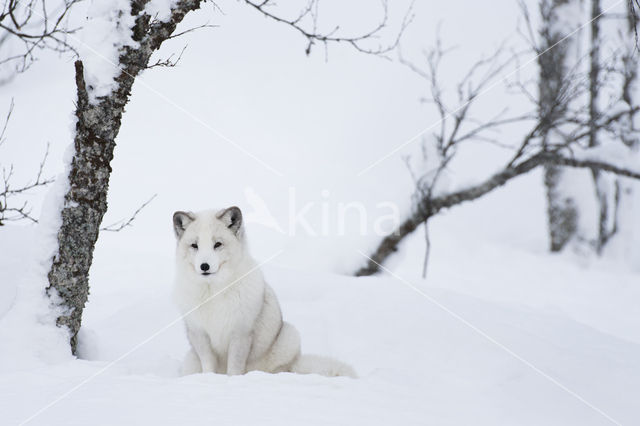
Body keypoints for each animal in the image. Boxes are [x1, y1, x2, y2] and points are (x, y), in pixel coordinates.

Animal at [172, 208, 358, 378]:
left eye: (217, 244)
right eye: (194, 245)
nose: (204, 266)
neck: (214, 292)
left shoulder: (241, 332)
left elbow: (235, 367)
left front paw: (232, 380)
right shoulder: (199, 334)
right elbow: (208, 364)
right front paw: (209, 379)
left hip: (290, 336)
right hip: (190, 360)